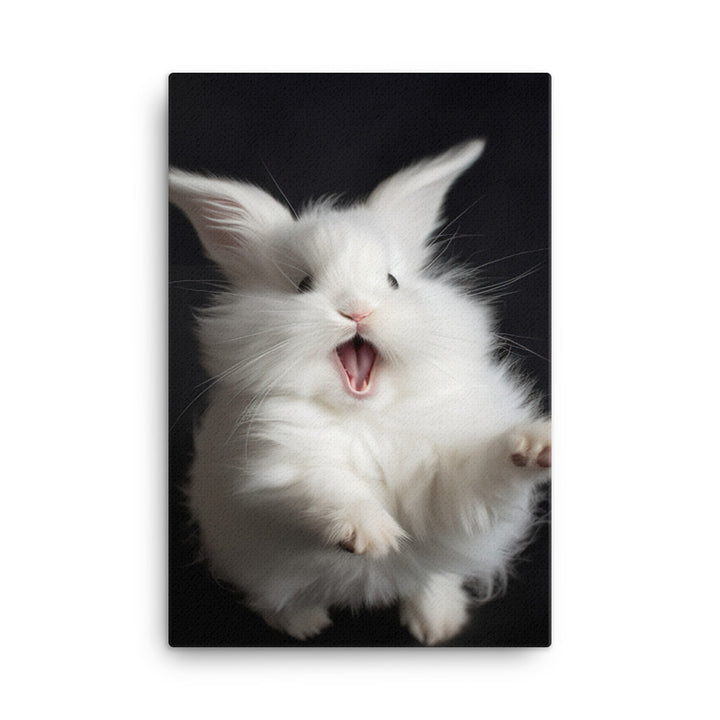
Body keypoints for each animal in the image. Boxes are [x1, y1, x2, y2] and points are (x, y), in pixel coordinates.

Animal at [169, 139, 550, 645]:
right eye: (303, 284)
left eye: (392, 281)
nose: (357, 311)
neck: (365, 415)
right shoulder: (273, 465)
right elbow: (322, 487)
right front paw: (372, 535)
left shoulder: (450, 486)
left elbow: (482, 472)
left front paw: (535, 445)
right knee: (273, 593)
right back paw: (303, 623)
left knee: (430, 578)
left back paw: (438, 623)